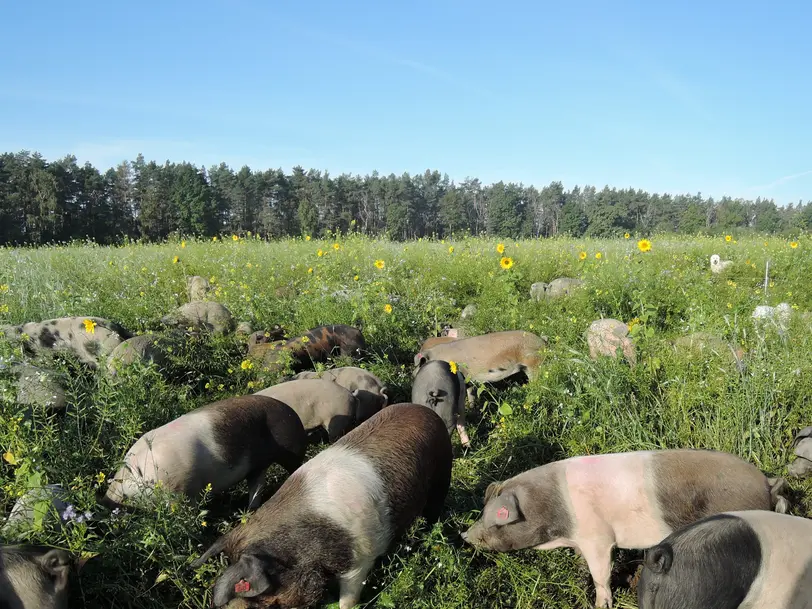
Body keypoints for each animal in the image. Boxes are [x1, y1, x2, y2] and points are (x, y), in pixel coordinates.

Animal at [101, 394, 304, 508]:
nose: (107, 499)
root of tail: (294, 415)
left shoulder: (181, 491)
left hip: (291, 450)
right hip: (257, 465)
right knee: (256, 486)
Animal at [193, 404, 454, 608]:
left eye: (257, 598)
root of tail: (425, 410)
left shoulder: (361, 559)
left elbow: (348, 599)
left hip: (443, 470)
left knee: (435, 507)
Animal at [464, 446, 788, 608]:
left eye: (495, 519)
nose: (466, 535)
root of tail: (768, 484)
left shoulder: (598, 538)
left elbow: (601, 575)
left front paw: (600, 605)